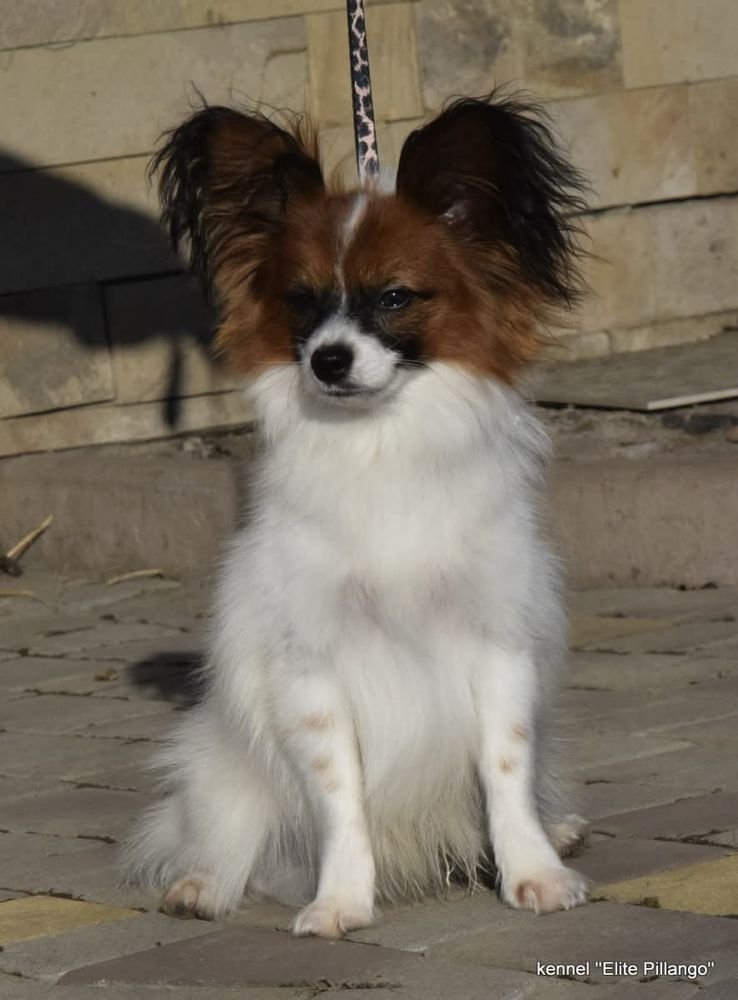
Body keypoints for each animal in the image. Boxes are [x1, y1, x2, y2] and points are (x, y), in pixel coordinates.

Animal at [124, 92, 590, 938]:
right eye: (302, 301)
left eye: (396, 296)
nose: (328, 360)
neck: (380, 447)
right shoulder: (311, 669)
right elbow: (339, 795)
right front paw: (341, 900)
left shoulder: (497, 642)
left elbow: (506, 768)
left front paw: (534, 872)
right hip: (219, 762)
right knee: (225, 826)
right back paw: (202, 884)